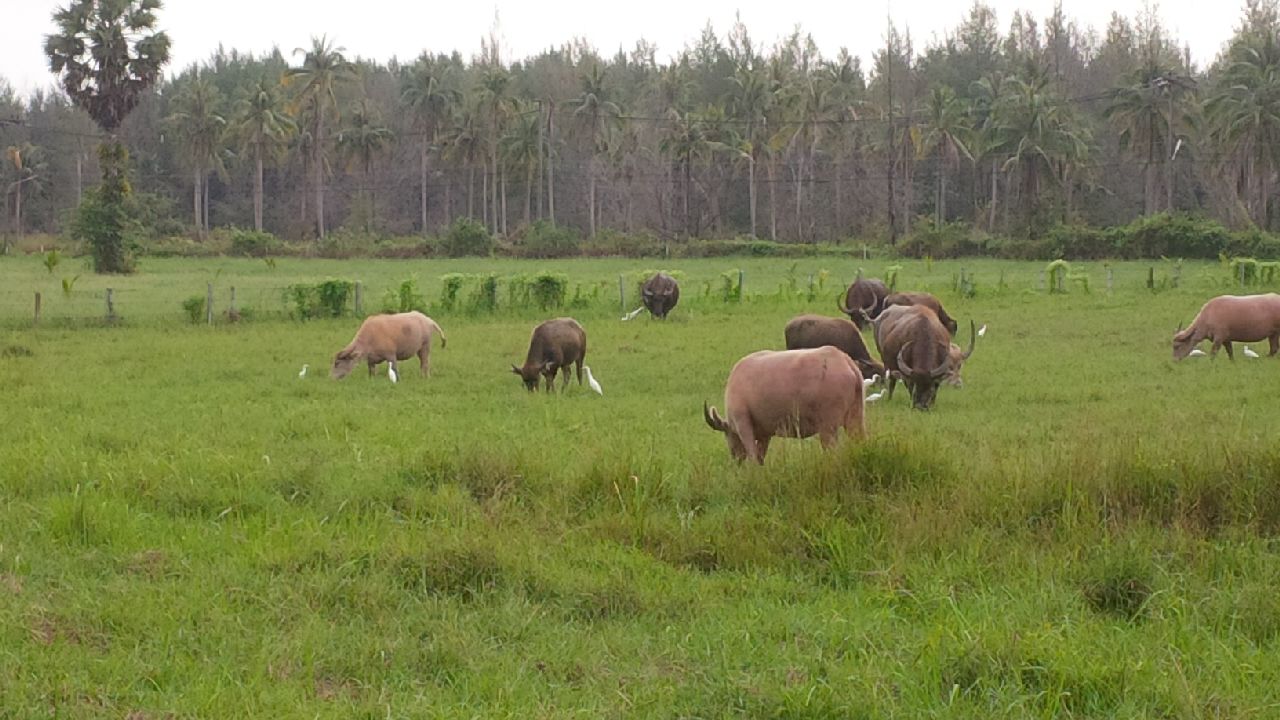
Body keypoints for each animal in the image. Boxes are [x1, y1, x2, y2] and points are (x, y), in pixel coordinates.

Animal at [703, 346, 867, 464]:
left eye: (728, 435)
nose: (735, 457)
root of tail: (845, 361)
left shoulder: (743, 424)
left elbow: (753, 457)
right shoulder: (765, 434)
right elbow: (760, 457)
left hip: (828, 427)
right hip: (855, 420)